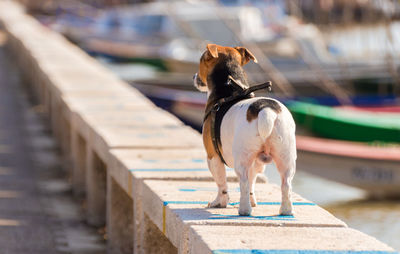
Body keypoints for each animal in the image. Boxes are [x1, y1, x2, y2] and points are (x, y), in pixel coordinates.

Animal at [194, 44, 296, 216]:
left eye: (201, 59)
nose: (194, 76)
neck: (230, 89)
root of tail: (266, 110)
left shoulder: (212, 156)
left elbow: (222, 183)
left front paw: (219, 203)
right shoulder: (256, 162)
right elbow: (252, 183)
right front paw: (253, 200)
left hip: (241, 161)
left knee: (242, 182)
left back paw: (244, 210)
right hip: (286, 158)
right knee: (285, 185)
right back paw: (285, 210)